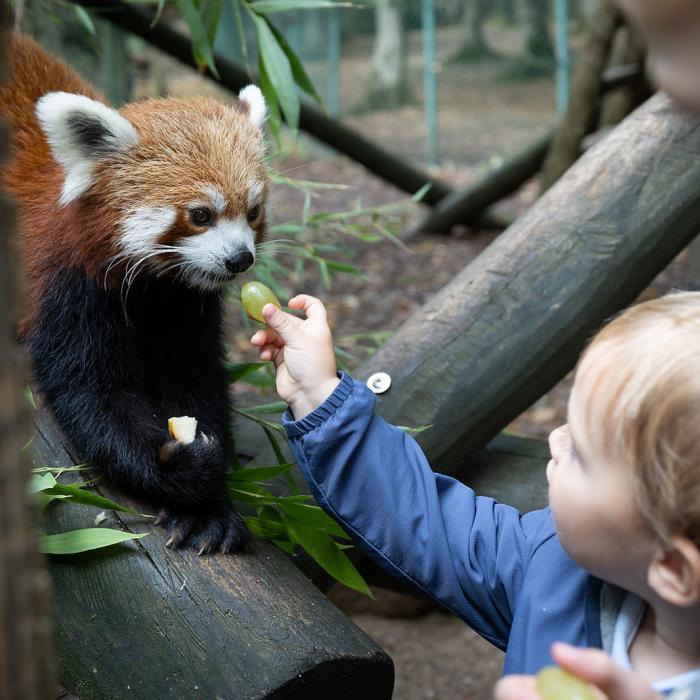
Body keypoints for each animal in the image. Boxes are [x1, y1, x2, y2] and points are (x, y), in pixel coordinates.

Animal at [1, 37, 270, 552]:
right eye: (200, 214)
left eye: (253, 211)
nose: (239, 259)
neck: (153, 289)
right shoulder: (69, 289)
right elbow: (93, 393)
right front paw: (176, 468)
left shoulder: (185, 306)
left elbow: (195, 379)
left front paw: (210, 506)